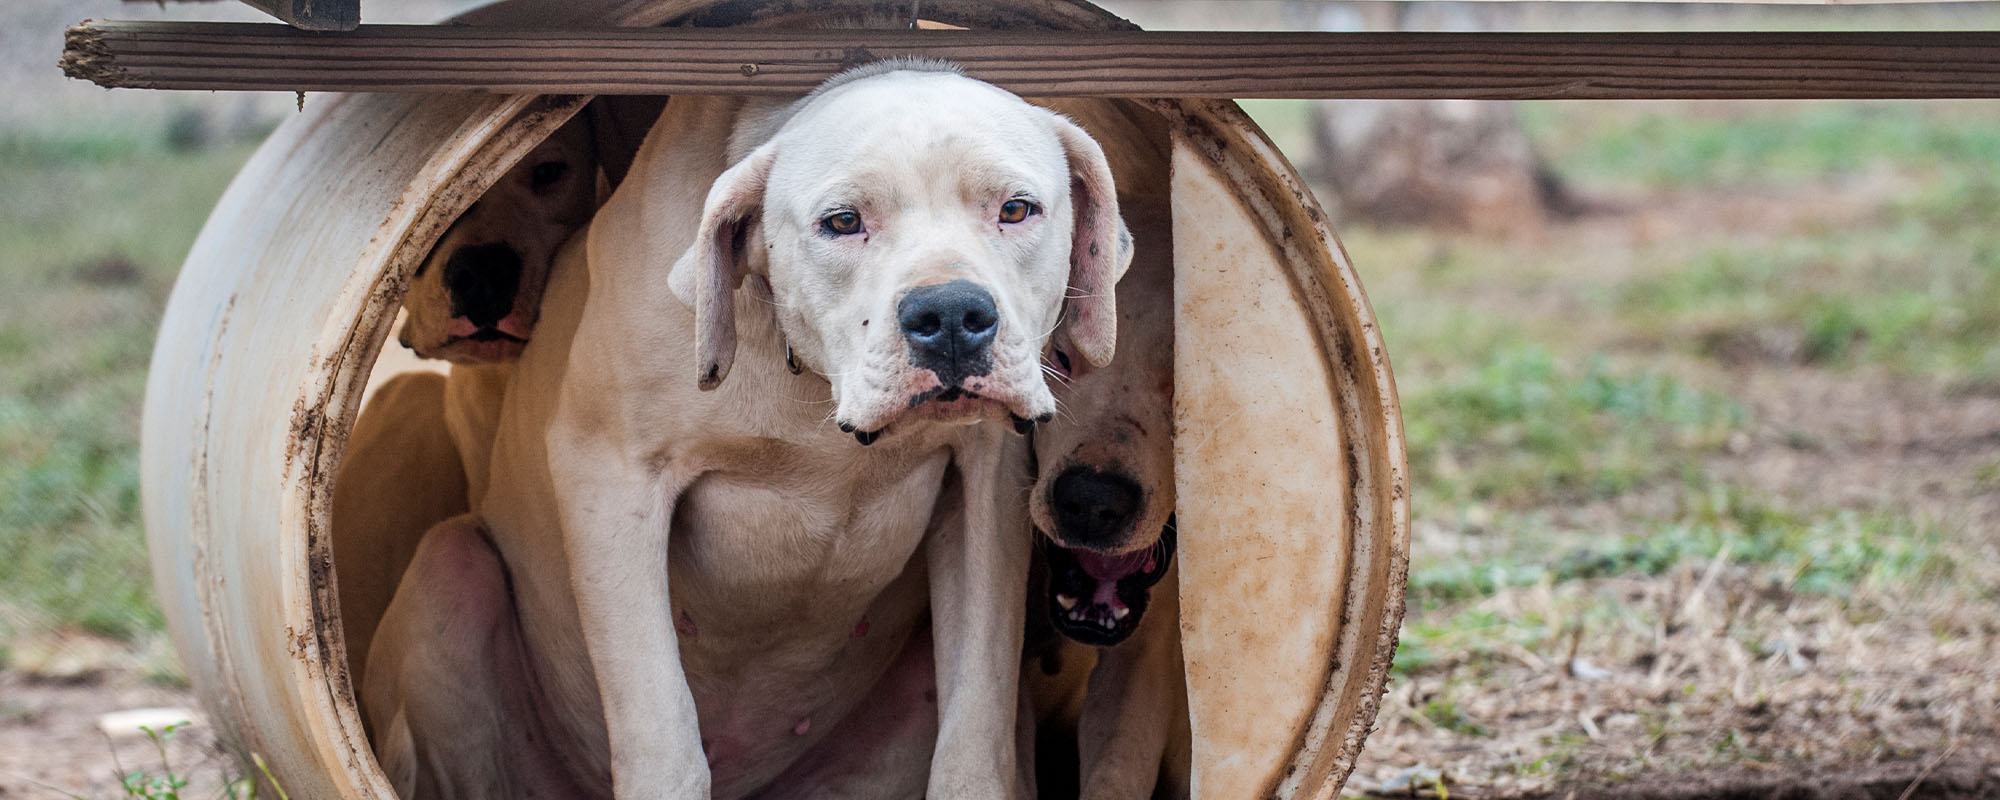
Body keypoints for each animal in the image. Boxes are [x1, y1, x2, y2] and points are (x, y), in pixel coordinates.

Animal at [360, 62, 1128, 800]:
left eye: (1016, 209)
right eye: (842, 221)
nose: (949, 316)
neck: (809, 381)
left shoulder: (986, 490)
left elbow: (975, 741)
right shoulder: (612, 482)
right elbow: (663, 738)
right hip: (451, 569)